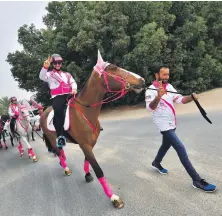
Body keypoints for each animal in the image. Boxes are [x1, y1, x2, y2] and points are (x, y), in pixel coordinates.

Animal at [40, 51, 145, 209]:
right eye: (114, 68)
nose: (142, 80)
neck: (85, 111)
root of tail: (43, 112)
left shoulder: (90, 144)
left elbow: (87, 161)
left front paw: (87, 175)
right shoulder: (85, 145)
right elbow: (98, 170)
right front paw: (113, 197)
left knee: (61, 152)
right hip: (52, 139)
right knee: (58, 151)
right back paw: (65, 168)